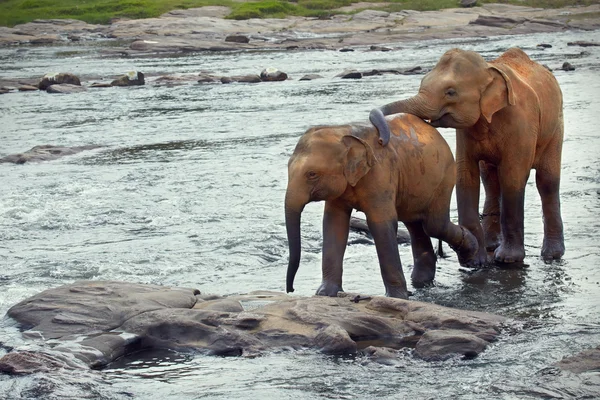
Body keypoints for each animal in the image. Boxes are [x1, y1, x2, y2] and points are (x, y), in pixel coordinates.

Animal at [286, 111, 478, 298]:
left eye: (312, 174)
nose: (291, 289)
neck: (342, 131)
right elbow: (334, 223)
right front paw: (325, 294)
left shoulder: (381, 174)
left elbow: (380, 225)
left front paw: (396, 297)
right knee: (415, 224)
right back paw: (421, 280)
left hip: (444, 177)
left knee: (433, 225)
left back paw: (471, 254)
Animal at [368, 47, 564, 264]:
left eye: (451, 92)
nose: (381, 140)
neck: (489, 70)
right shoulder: (466, 133)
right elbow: (465, 176)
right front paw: (475, 262)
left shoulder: (521, 122)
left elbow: (512, 176)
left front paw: (507, 259)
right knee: (491, 181)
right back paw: (491, 245)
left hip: (555, 127)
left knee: (546, 181)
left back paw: (552, 254)